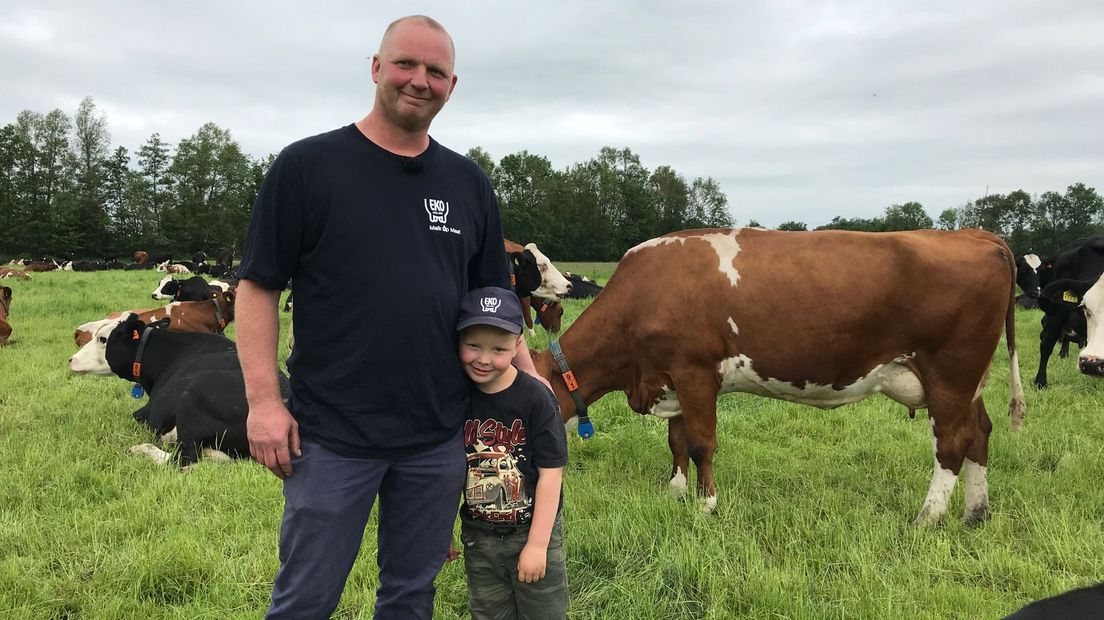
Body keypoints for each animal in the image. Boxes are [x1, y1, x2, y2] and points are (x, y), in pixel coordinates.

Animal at [66, 313, 291, 463]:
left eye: (103, 339)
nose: (71, 360)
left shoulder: (146, 414)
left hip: (192, 400)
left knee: (182, 461)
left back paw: (141, 449)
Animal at [534, 223, 1024, 522]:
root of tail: (978, 235)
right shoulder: (670, 378)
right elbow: (676, 441)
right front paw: (674, 493)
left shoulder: (695, 373)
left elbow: (700, 443)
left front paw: (707, 506)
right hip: (970, 381)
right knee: (980, 433)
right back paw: (975, 513)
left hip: (951, 372)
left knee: (953, 444)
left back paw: (928, 518)